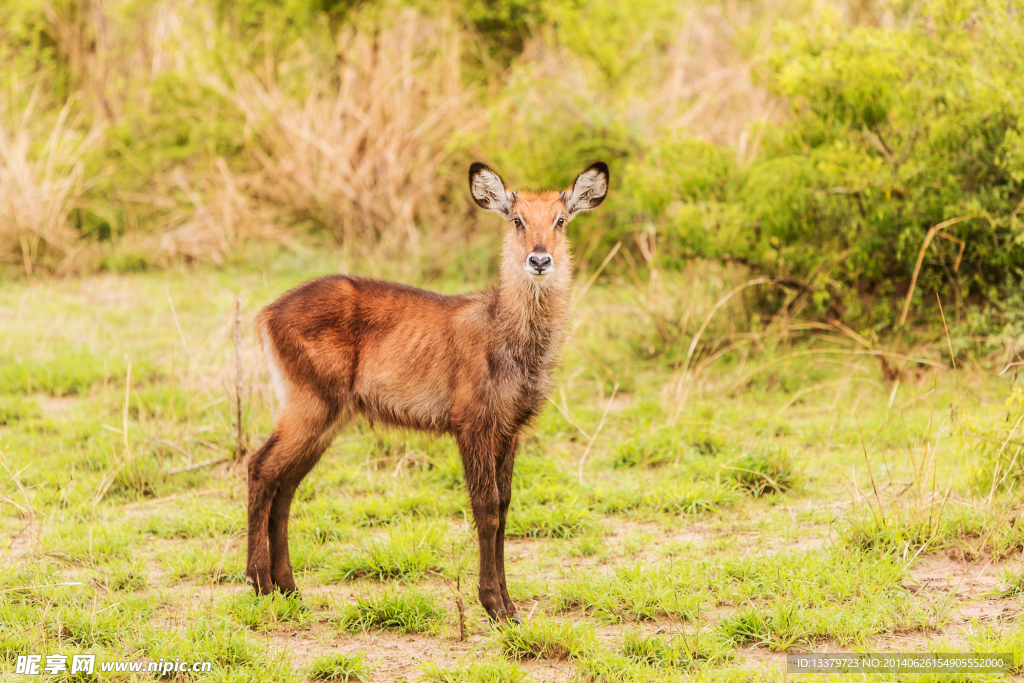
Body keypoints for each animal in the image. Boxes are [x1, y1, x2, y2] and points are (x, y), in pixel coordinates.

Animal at [245, 158, 606, 618]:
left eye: (560, 221)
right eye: (517, 220)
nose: (540, 260)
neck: (505, 332)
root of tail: (267, 313)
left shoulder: (509, 430)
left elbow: (505, 507)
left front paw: (509, 605)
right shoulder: (471, 425)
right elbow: (487, 509)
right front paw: (494, 606)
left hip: (327, 417)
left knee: (285, 485)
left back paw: (288, 587)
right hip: (310, 406)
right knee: (260, 467)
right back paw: (258, 581)